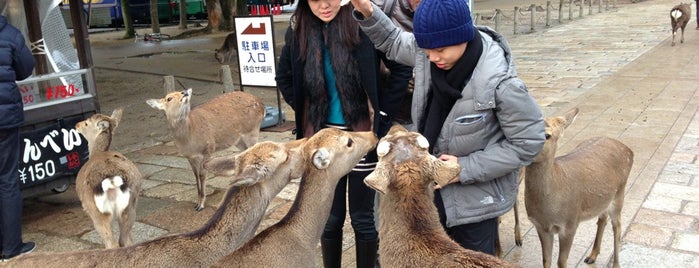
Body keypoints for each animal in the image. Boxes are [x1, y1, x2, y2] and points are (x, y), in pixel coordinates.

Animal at [74, 109, 142, 249]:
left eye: (87, 123)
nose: (76, 125)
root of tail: (111, 181)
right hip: (130, 206)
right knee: (125, 240)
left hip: (96, 212)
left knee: (112, 243)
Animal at [524, 107, 636, 268]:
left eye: (547, 135)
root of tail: (629, 150)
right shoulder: (540, 226)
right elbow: (546, 261)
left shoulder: (570, 223)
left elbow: (561, 261)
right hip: (604, 199)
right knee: (602, 218)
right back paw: (592, 256)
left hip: (620, 193)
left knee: (617, 226)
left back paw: (615, 264)